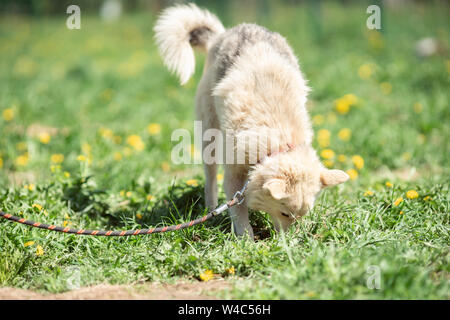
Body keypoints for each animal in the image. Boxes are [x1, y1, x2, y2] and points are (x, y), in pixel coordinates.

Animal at [154, 2, 348, 238]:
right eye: (285, 213)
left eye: (301, 216)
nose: (290, 242)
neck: (278, 140)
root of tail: (222, 35)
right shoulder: (233, 175)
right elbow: (238, 211)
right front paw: (247, 239)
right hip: (209, 135)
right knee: (210, 178)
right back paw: (211, 210)